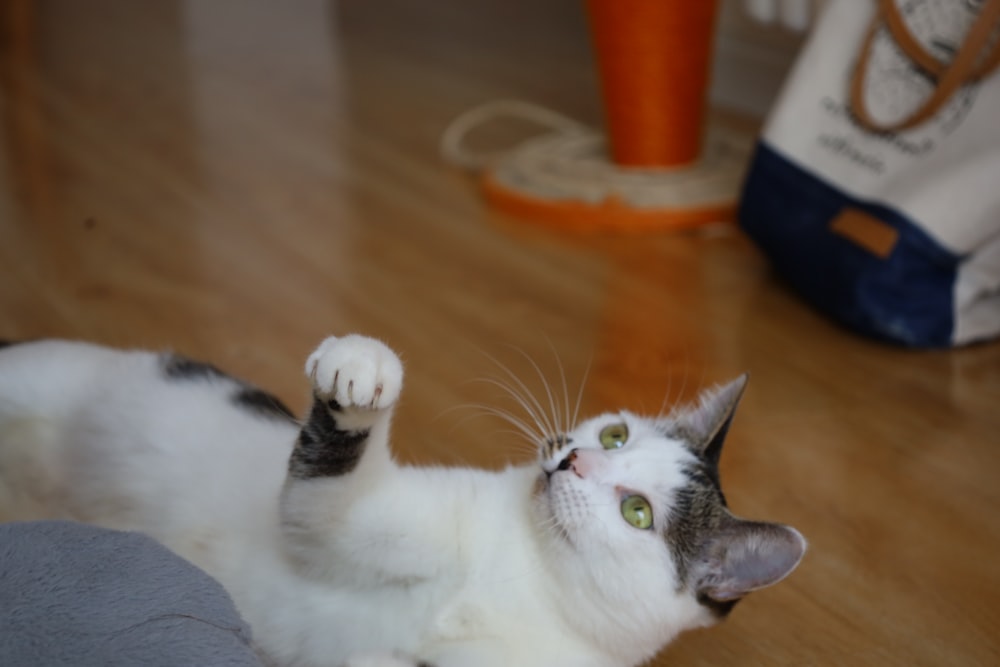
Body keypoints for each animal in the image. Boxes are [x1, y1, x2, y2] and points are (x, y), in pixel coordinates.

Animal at [0, 336, 804, 667]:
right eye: (614, 432)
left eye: (637, 511)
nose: (573, 456)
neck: (529, 580)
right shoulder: (349, 518)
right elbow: (328, 500)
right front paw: (359, 374)